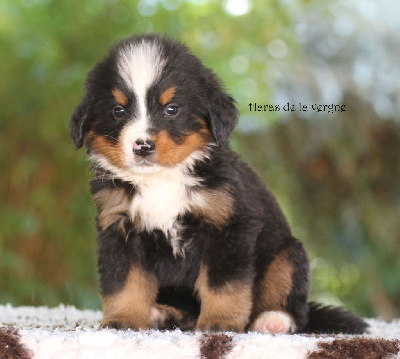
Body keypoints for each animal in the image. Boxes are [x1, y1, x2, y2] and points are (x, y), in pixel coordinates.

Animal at [70, 33, 368, 334]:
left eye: (171, 109)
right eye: (118, 111)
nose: (142, 145)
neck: (162, 179)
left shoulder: (229, 225)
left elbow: (224, 284)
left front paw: (220, 323)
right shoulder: (118, 228)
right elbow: (124, 282)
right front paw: (123, 321)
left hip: (287, 254)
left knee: (294, 306)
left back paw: (273, 320)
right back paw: (161, 314)